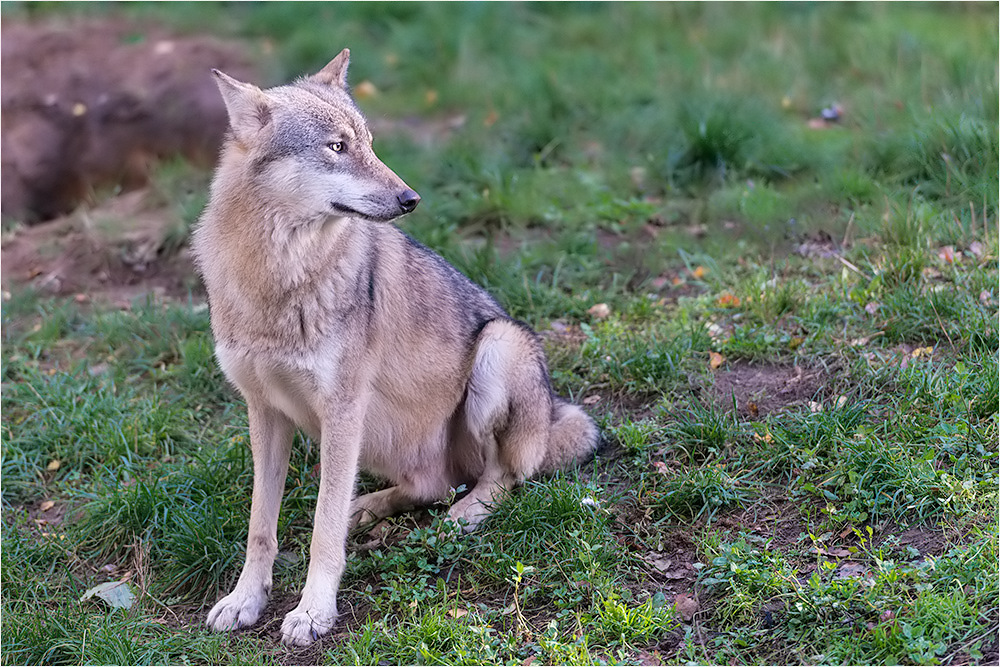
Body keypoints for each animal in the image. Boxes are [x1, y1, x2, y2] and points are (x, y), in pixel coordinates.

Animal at [190, 51, 596, 648]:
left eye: (369, 143)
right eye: (337, 147)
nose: (411, 199)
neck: (280, 276)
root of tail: (550, 419)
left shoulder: (342, 411)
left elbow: (322, 528)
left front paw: (313, 612)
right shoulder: (264, 412)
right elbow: (260, 527)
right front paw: (246, 601)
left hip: (499, 346)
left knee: (500, 478)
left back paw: (461, 518)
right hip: (378, 439)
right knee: (431, 485)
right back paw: (371, 508)